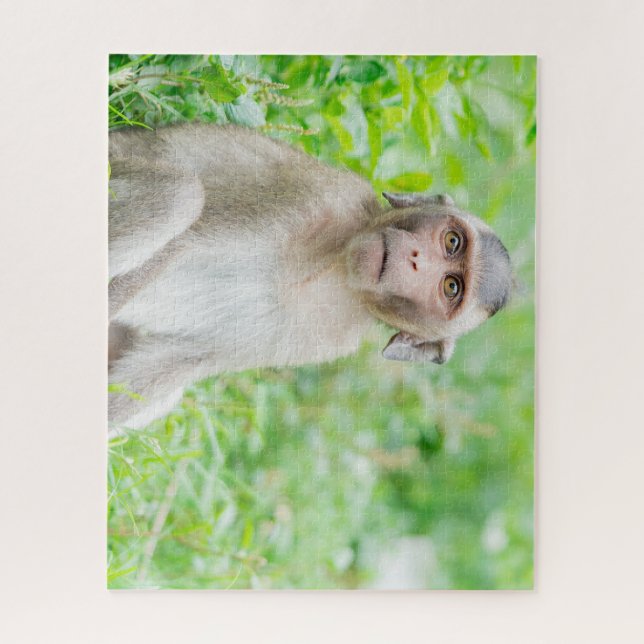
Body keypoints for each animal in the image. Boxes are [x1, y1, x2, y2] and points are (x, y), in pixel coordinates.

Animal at [108, 123, 512, 430]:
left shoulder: (322, 341)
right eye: (452, 241)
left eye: (450, 287)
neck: (339, 276)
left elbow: (175, 360)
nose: (415, 260)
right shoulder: (323, 201)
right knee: (182, 196)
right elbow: (187, 238)